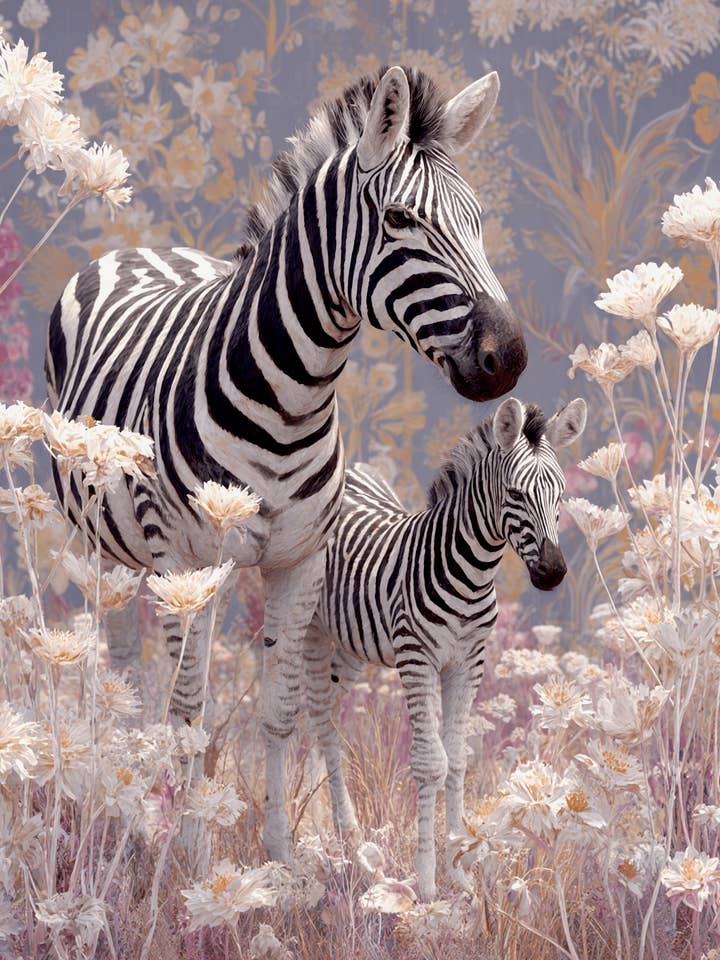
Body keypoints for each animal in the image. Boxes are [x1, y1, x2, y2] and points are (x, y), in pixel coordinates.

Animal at [44, 65, 528, 863]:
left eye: (478, 218)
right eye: (401, 219)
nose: (510, 357)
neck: (292, 397)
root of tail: (143, 249)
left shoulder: (299, 563)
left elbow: (278, 711)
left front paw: (277, 854)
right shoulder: (185, 562)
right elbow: (189, 710)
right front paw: (192, 856)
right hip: (99, 544)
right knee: (114, 666)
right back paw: (117, 800)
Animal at [304, 396, 587, 900]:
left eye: (560, 495)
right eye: (515, 495)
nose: (553, 573)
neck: (474, 573)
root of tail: (350, 469)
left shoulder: (468, 662)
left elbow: (457, 759)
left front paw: (459, 867)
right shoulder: (417, 659)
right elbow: (430, 763)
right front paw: (427, 882)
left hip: (352, 646)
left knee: (326, 718)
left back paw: (329, 829)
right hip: (311, 626)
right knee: (308, 717)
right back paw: (325, 831)